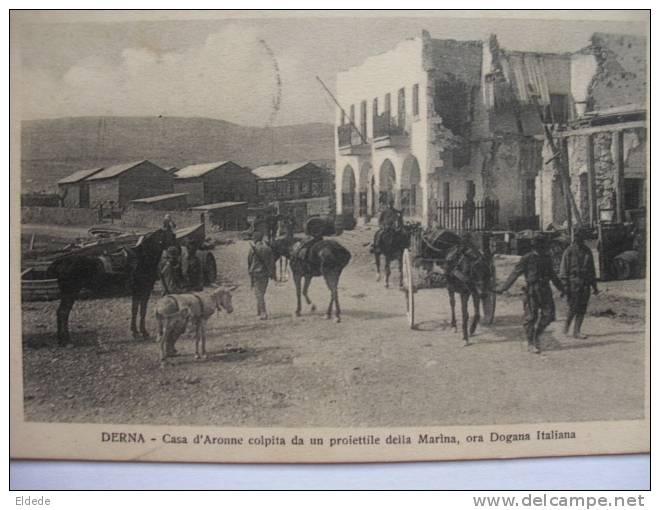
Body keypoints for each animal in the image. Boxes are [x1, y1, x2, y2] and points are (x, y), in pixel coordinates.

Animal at [47, 228, 175, 344]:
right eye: (171, 235)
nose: (175, 251)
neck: (143, 258)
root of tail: (60, 262)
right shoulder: (143, 290)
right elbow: (142, 311)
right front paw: (143, 332)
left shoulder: (137, 292)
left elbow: (135, 310)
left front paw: (135, 332)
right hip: (70, 293)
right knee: (62, 312)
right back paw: (64, 340)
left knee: (63, 313)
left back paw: (64, 338)